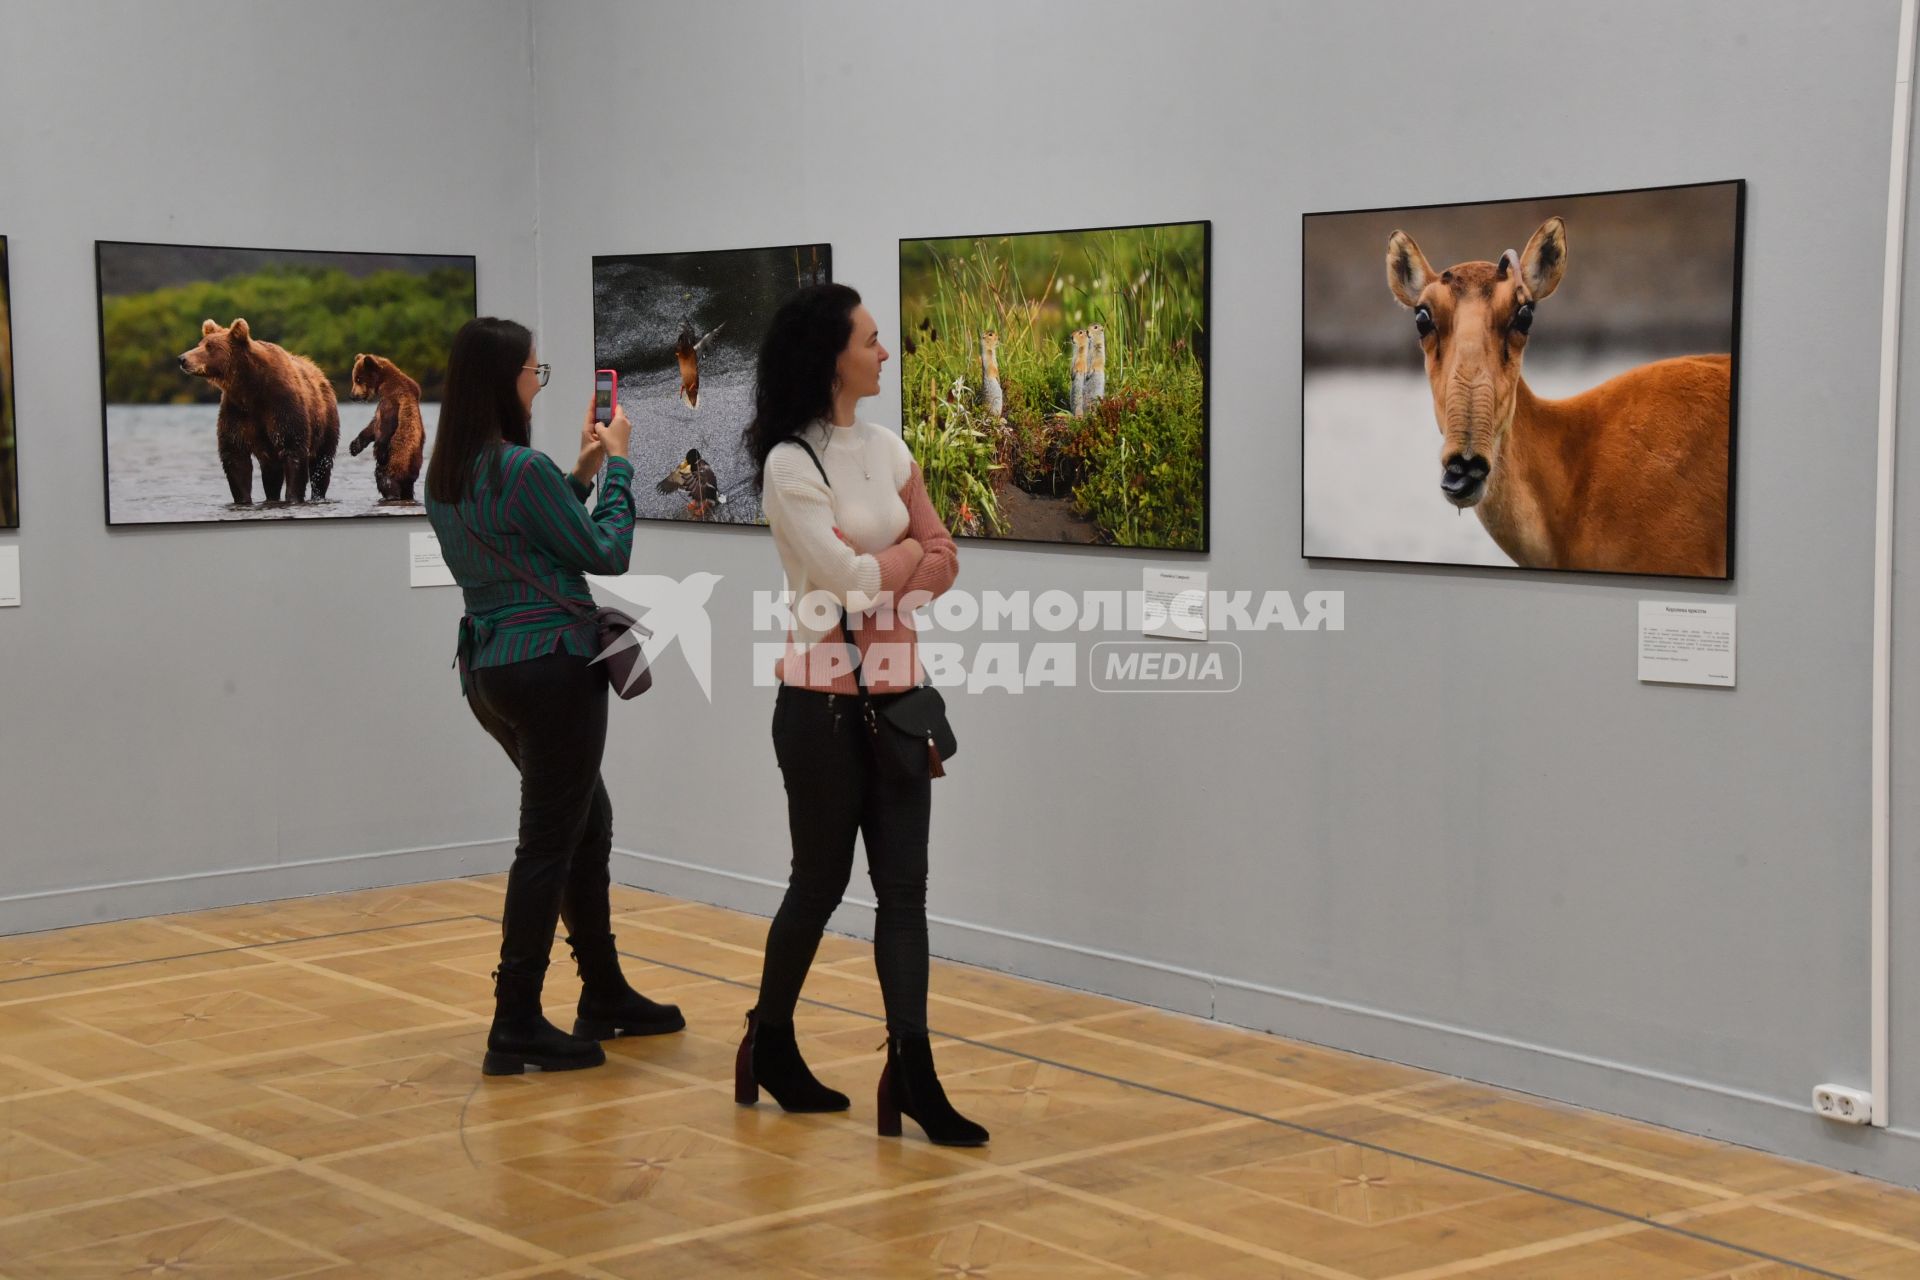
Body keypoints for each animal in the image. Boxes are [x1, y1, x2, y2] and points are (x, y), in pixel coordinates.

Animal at [178, 314, 339, 506]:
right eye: (200, 343)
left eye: (210, 347)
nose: (182, 359)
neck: (250, 387)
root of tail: (321, 374)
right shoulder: (236, 411)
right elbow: (235, 458)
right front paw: (243, 499)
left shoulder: (282, 406)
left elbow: (294, 449)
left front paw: (293, 497)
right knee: (271, 473)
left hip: (326, 422)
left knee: (322, 464)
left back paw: (318, 494)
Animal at [353, 358, 432, 506]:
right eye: (354, 378)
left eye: (359, 379)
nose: (352, 396)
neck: (384, 381)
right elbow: (372, 426)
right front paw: (354, 447)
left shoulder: (391, 400)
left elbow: (383, 427)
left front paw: (379, 453)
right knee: (407, 489)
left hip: (396, 464)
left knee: (385, 480)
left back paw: (389, 496)